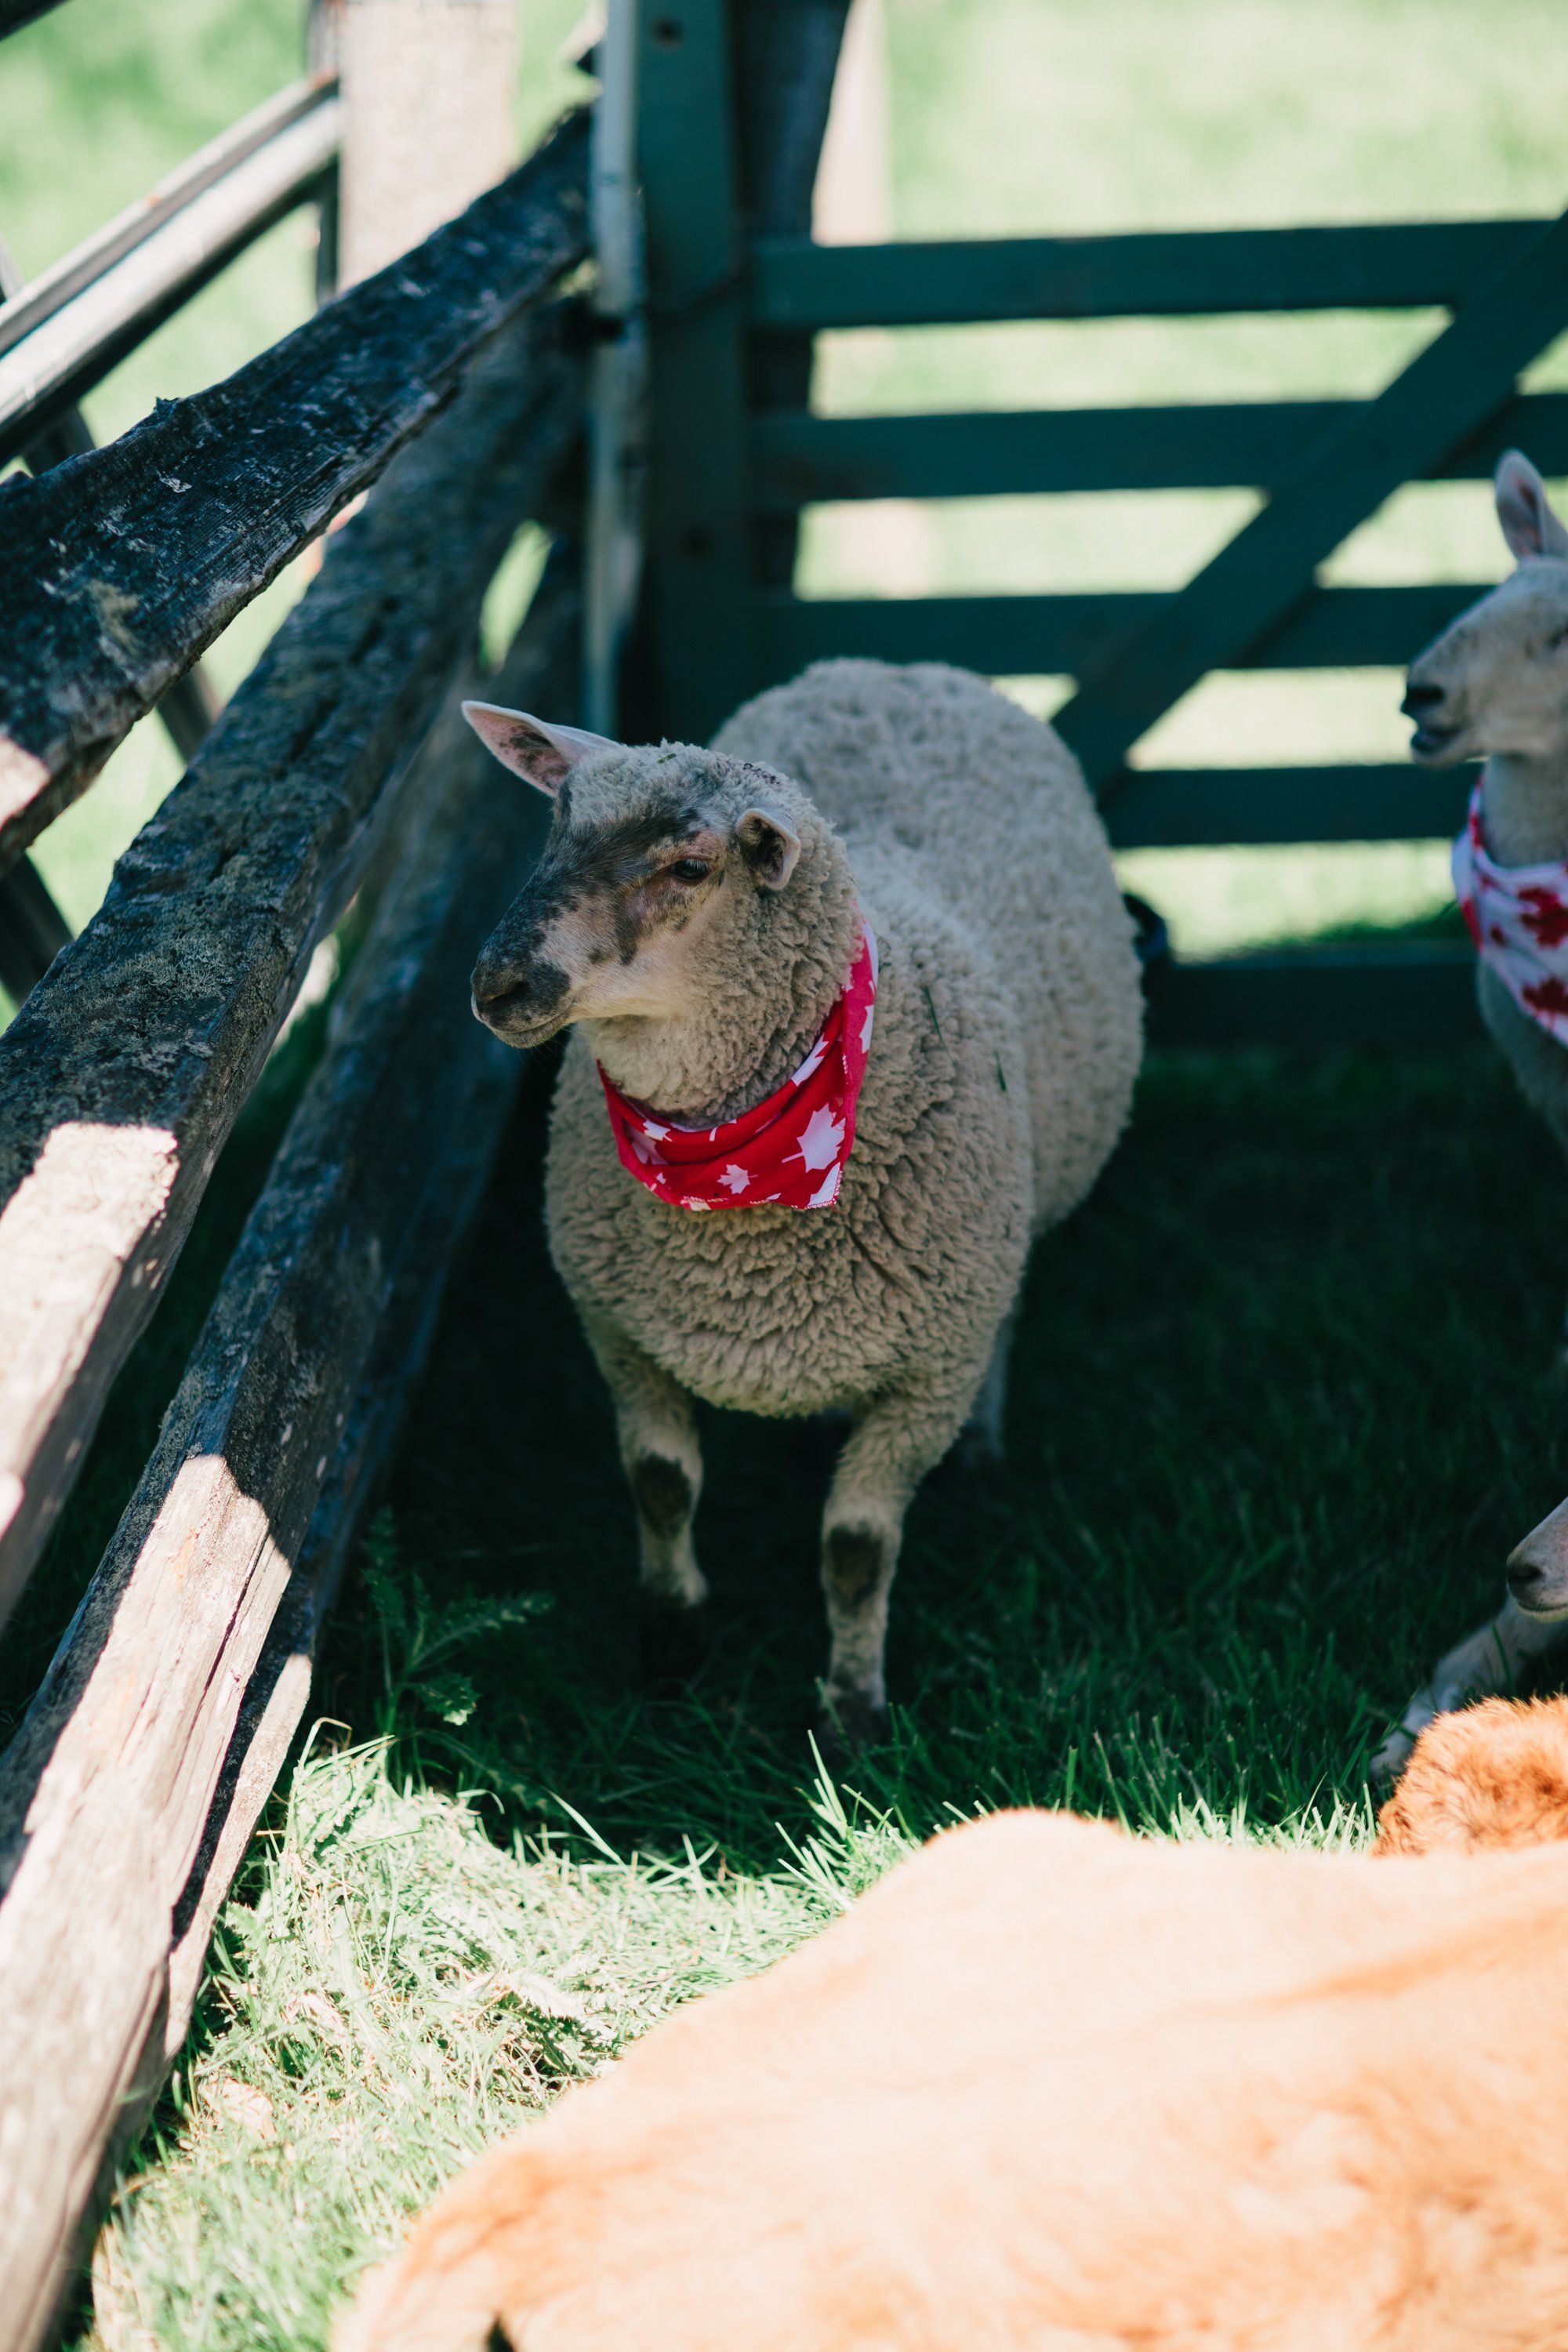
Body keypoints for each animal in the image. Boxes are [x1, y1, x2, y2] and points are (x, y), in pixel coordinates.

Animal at [462, 659, 1142, 1745]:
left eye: (690, 867)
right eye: (555, 821)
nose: (499, 983)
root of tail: (904, 670)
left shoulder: (925, 1378)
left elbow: (856, 1549)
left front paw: (852, 1715)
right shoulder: (618, 1331)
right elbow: (661, 1487)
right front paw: (671, 1647)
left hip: (1002, 1233)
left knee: (1007, 1309)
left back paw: (981, 1451)